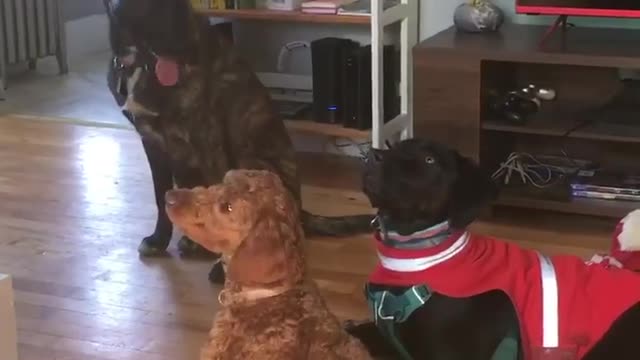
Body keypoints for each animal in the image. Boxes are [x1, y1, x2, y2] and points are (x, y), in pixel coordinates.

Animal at [103, 0, 372, 282]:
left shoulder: (207, 138)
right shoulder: (152, 143)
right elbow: (160, 197)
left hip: (248, 161)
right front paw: (159, 240)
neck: (138, 63)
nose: (184, 48)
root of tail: (301, 209)